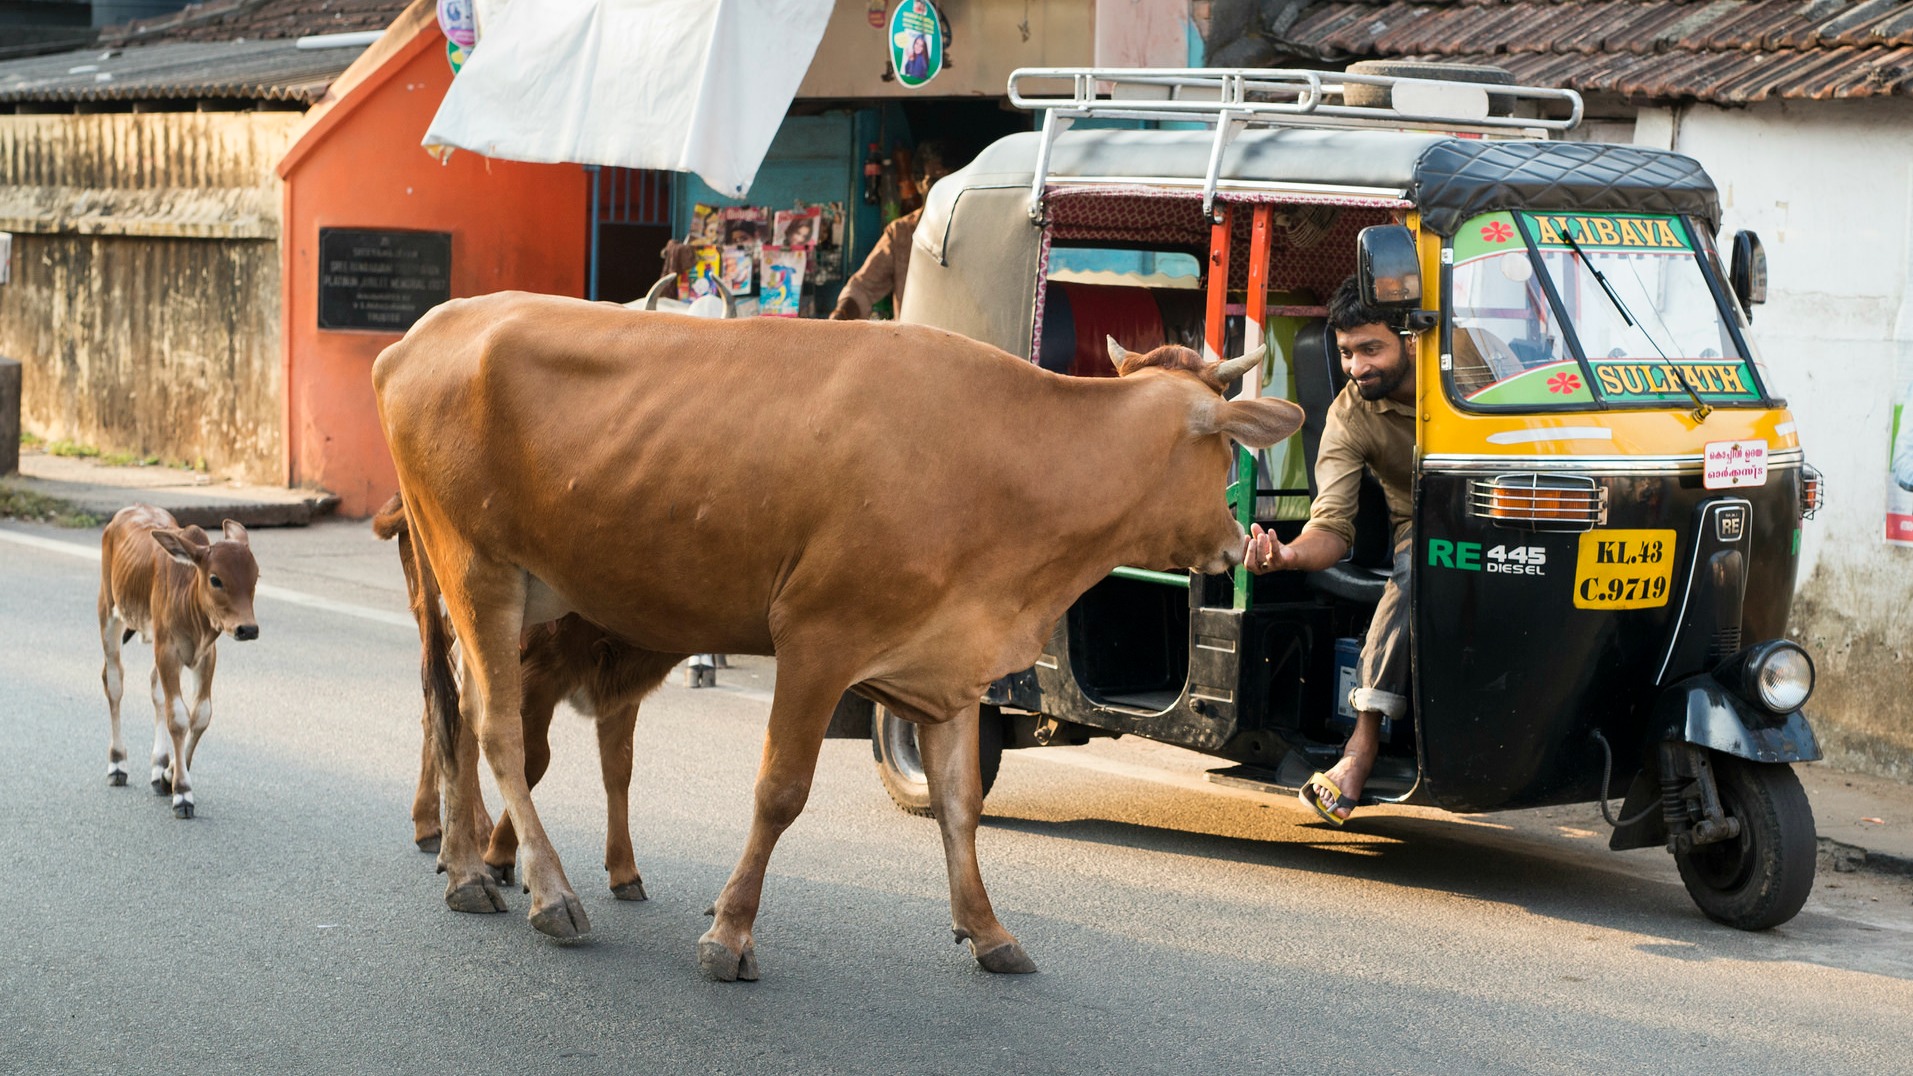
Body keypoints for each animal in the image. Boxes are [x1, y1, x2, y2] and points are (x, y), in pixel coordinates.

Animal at [97, 501, 258, 811]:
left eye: (256, 576)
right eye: (215, 579)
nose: (248, 629)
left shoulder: (205, 655)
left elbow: (201, 715)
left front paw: (169, 774)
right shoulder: (167, 651)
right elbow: (179, 717)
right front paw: (182, 791)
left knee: (155, 689)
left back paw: (158, 765)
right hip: (109, 612)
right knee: (114, 681)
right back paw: (117, 763)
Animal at [373, 493, 681, 896]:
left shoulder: (622, 693)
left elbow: (619, 768)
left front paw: (624, 871)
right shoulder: (536, 675)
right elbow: (533, 757)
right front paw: (500, 854)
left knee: (443, 713)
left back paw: (436, 827)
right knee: (452, 716)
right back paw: (467, 832)